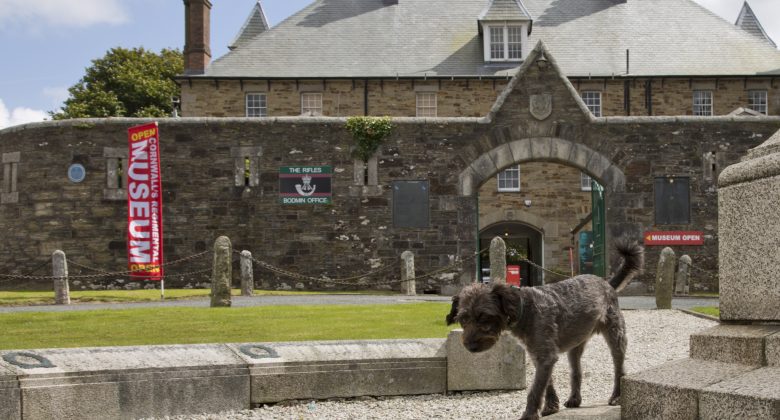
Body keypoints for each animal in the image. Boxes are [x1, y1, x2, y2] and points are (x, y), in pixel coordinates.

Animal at [448, 240, 644, 420]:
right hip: (575, 345)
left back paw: (617, 396)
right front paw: (551, 406)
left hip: (616, 336)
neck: (525, 308)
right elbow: (546, 383)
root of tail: (606, 283)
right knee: (576, 372)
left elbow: (535, 389)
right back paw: (575, 399)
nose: (470, 346)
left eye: (484, 317)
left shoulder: (545, 355)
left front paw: (529, 414)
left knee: (619, 368)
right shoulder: (539, 356)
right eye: (463, 319)